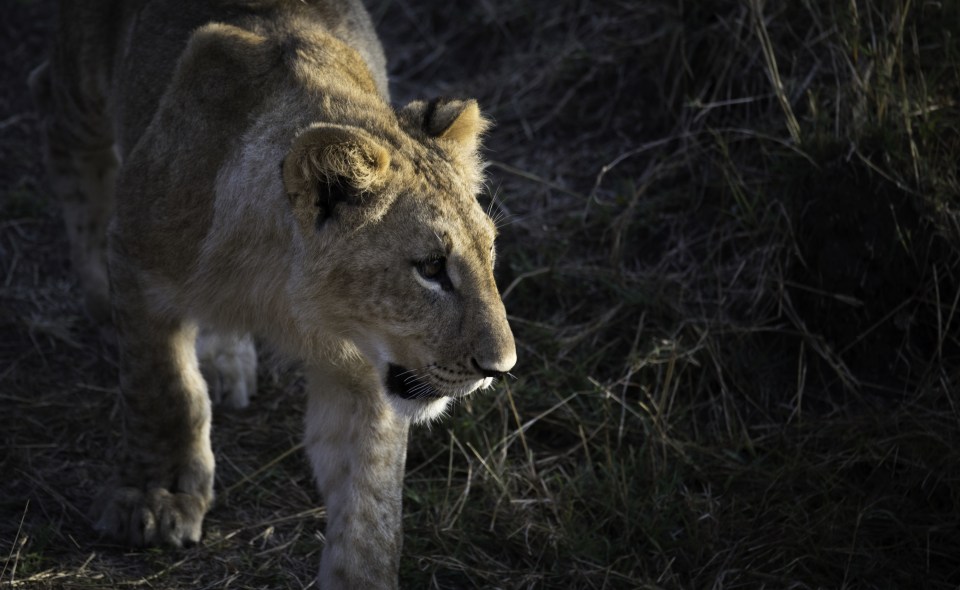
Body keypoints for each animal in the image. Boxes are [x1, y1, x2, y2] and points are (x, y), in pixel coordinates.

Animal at [30, 2, 512, 588]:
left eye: (490, 253)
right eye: (431, 268)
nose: (500, 368)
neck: (285, 293)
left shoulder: (365, 363)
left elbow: (369, 494)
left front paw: (362, 573)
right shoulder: (139, 263)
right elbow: (164, 390)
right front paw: (155, 498)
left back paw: (224, 358)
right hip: (82, 76)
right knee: (55, 111)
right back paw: (99, 293)